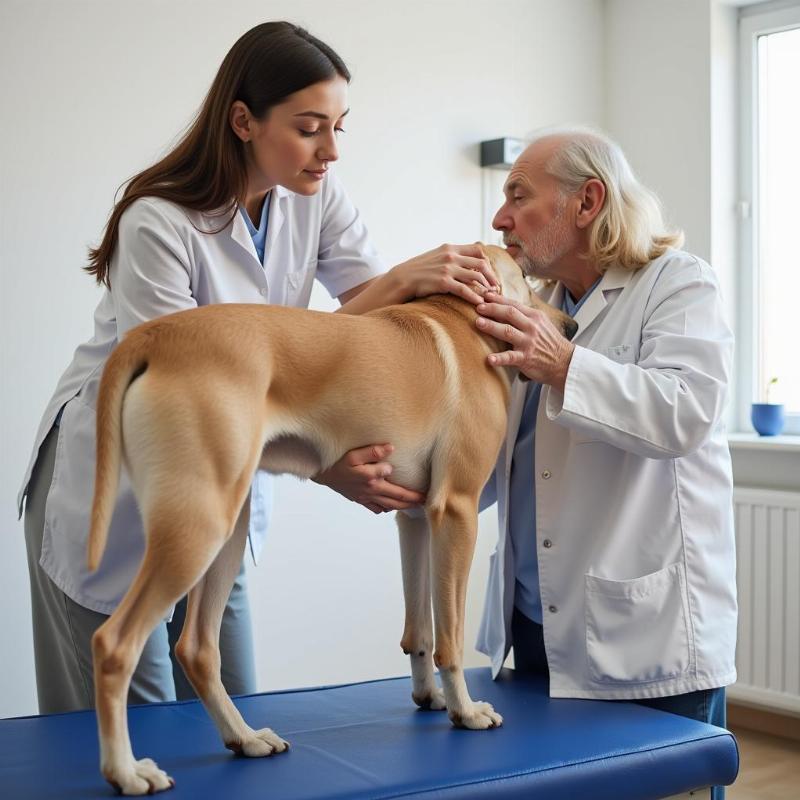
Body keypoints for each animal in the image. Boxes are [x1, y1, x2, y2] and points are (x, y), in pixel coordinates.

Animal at [86, 244, 576, 792]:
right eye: (526, 280)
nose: (571, 326)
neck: (459, 320)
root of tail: (153, 335)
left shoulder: (415, 519)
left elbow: (420, 631)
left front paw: (430, 697)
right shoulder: (456, 510)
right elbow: (449, 635)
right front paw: (465, 712)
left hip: (226, 528)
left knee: (196, 648)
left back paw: (245, 738)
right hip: (198, 528)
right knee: (114, 645)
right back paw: (126, 772)